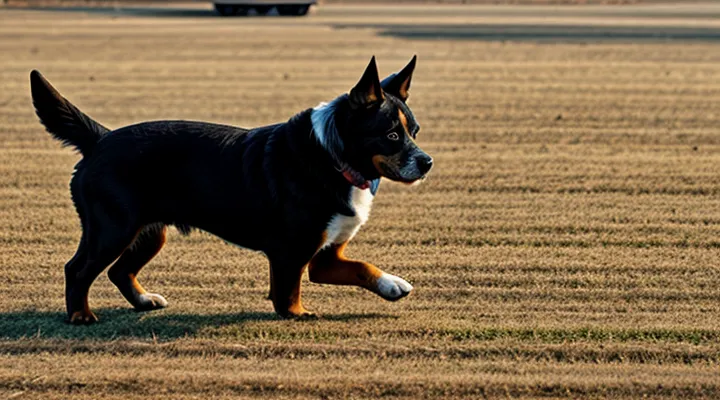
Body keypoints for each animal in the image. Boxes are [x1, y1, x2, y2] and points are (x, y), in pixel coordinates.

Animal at [31, 57, 430, 324]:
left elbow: (362, 267)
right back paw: (80, 315)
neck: (332, 157)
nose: (427, 162)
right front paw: (298, 314)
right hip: (112, 229)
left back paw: (143, 301)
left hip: (148, 232)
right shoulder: (292, 254)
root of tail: (101, 139)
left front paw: (392, 285)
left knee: (119, 272)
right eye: (392, 135)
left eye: (415, 131)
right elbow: (288, 295)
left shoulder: (325, 256)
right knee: (77, 270)